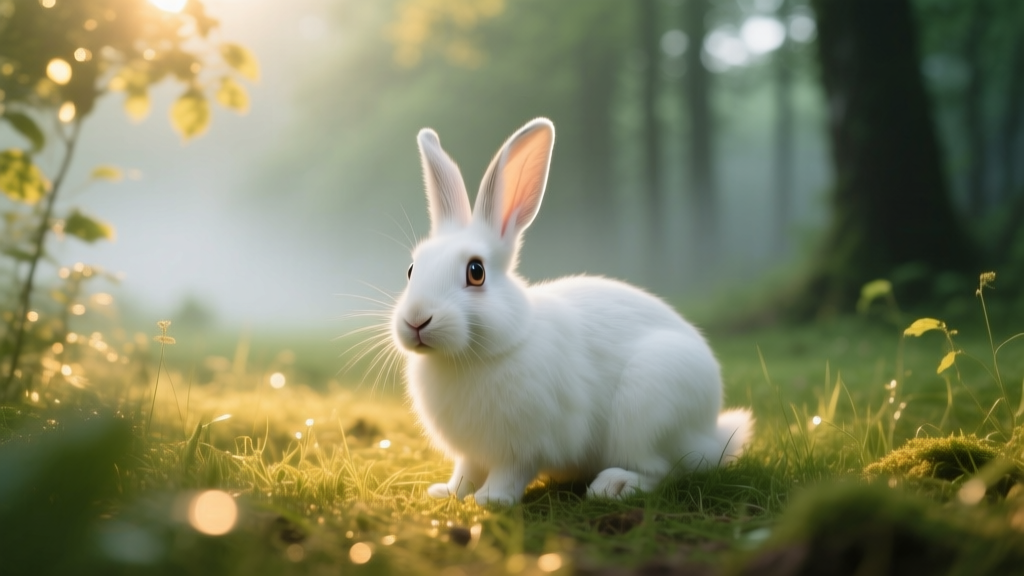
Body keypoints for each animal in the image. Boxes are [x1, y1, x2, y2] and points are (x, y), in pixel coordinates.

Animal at [390, 117, 753, 505]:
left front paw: (491, 499)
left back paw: (613, 485)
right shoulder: (471, 453)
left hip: (648, 411)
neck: (472, 357)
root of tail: (713, 433)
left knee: (666, 471)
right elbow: (465, 471)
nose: (416, 320)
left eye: (476, 271)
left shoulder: (522, 447)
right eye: (411, 270)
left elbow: (509, 474)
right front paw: (446, 493)